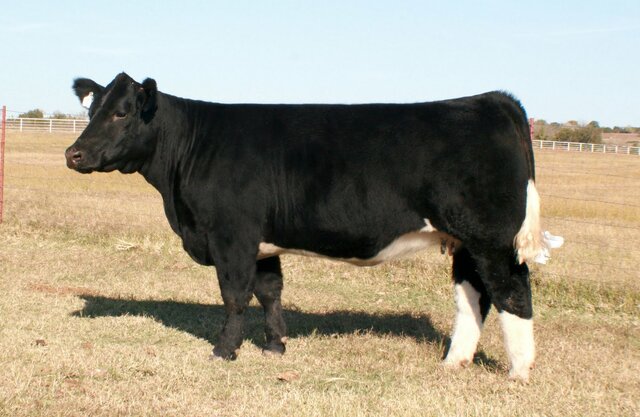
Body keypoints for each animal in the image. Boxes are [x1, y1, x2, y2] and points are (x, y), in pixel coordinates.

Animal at [65, 72, 557, 381]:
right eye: (92, 111)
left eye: (122, 113)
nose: (73, 154)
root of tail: (491, 100)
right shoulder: (262, 243)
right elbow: (269, 291)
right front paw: (275, 347)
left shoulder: (232, 236)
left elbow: (234, 295)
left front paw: (224, 351)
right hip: (465, 241)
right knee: (472, 296)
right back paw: (454, 362)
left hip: (491, 240)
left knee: (512, 292)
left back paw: (519, 371)